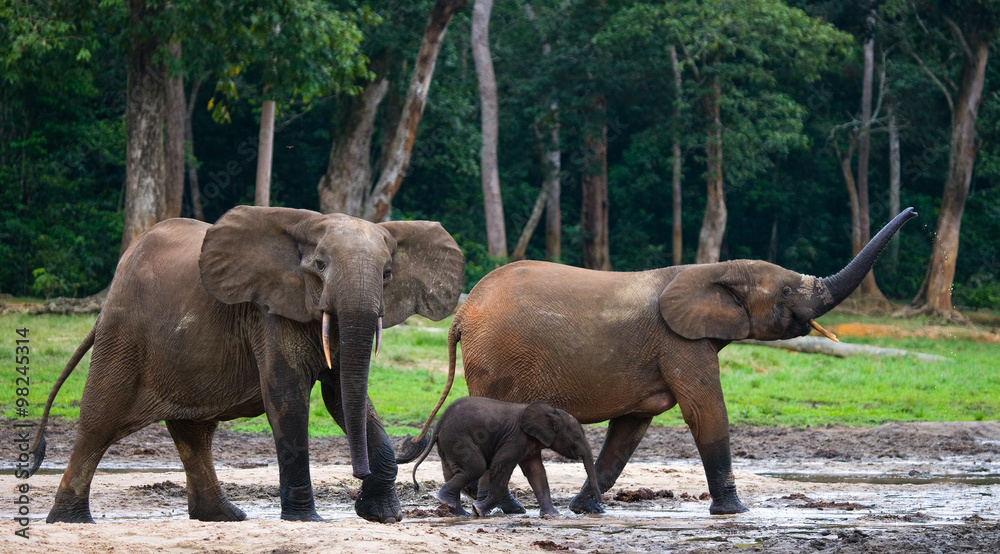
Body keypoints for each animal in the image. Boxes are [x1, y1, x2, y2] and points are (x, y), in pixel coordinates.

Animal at [27, 205, 465, 524]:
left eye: (388, 274)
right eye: (319, 266)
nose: (357, 475)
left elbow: (343, 396)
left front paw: (384, 516)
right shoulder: (268, 312)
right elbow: (288, 398)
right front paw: (306, 521)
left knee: (193, 433)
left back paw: (224, 517)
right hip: (124, 336)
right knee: (99, 422)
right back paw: (69, 521)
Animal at [403, 397, 603, 517]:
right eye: (576, 437)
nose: (601, 505)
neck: (551, 411)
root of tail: (438, 423)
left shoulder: (529, 445)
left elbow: (537, 473)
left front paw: (553, 516)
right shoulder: (515, 438)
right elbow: (500, 467)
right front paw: (479, 510)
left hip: (448, 444)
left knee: (452, 472)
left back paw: (458, 512)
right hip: (457, 438)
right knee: (476, 466)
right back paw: (453, 504)